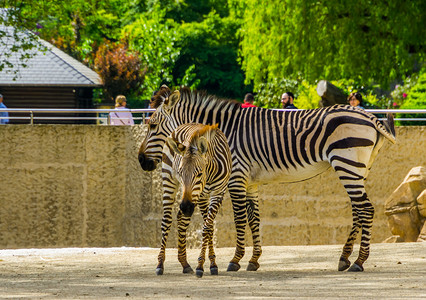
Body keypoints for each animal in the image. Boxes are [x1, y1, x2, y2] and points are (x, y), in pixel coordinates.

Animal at [158, 123, 231, 278]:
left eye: (199, 173)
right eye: (180, 173)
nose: (186, 207)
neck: (210, 172)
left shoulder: (218, 193)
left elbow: (208, 228)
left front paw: (211, 264)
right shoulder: (201, 196)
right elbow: (207, 228)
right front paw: (201, 265)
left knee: (181, 219)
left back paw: (185, 264)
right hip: (169, 180)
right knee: (166, 220)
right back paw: (160, 264)